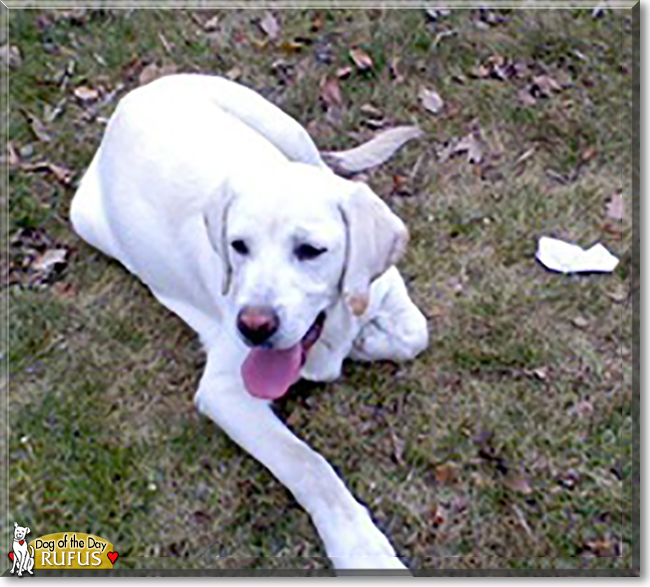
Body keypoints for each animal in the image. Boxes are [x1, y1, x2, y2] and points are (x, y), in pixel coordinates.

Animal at [71, 72, 428, 568]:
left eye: (311, 251)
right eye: (238, 246)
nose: (253, 327)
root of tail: (130, 100)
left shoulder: (385, 289)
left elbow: (414, 334)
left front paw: (358, 344)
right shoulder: (225, 391)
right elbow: (309, 465)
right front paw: (361, 551)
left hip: (282, 125)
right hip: (85, 221)